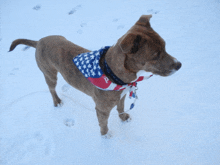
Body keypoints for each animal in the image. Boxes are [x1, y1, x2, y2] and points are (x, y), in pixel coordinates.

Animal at [9, 14, 182, 136]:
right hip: (50, 74)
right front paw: (106, 138)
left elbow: (121, 108)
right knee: (51, 89)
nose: (179, 65)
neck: (111, 72)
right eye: (155, 55)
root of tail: (38, 41)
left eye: (165, 46)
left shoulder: (122, 96)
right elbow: (103, 125)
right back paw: (57, 101)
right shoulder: (102, 109)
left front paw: (123, 118)